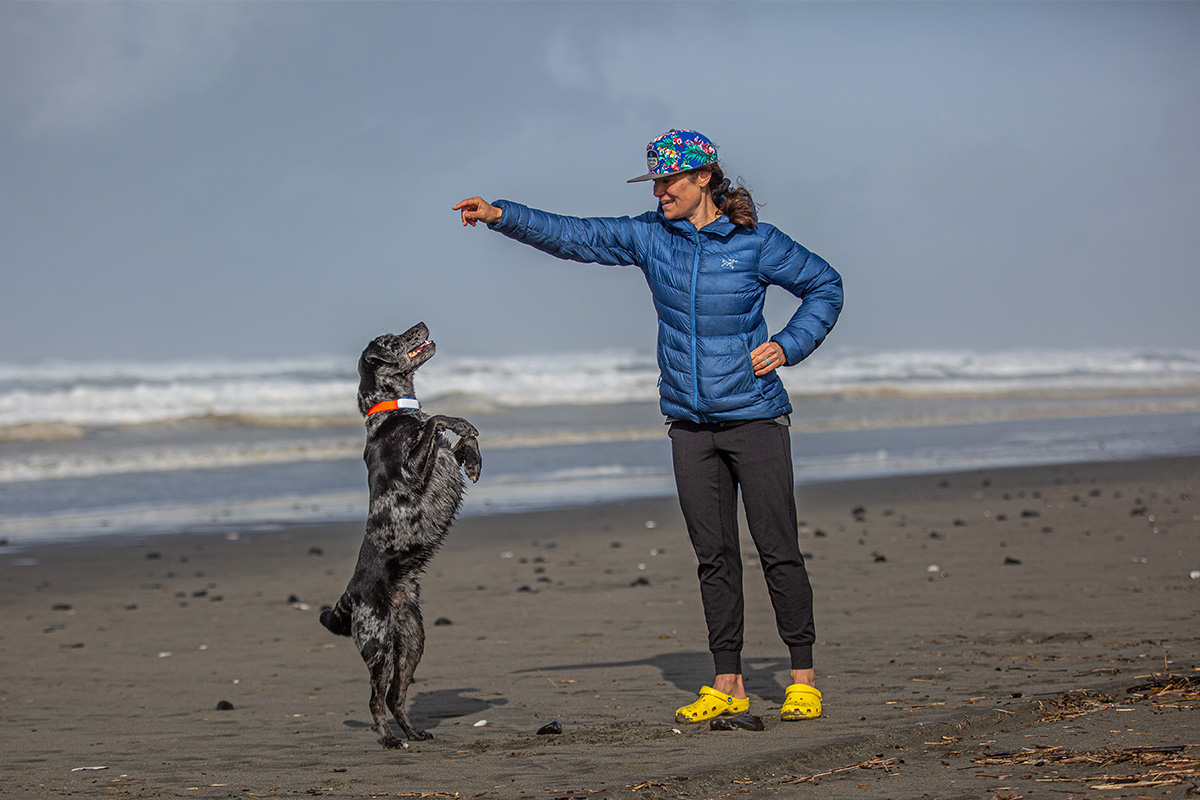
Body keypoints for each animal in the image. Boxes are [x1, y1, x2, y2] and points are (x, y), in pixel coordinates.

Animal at [324, 321, 487, 748]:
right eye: (391, 340)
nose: (421, 325)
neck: (393, 413)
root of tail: (351, 594)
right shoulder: (413, 471)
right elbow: (437, 420)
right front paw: (462, 424)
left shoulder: (441, 457)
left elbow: (456, 444)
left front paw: (474, 458)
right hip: (378, 644)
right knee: (375, 699)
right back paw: (390, 740)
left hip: (413, 641)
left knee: (397, 697)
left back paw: (413, 732)